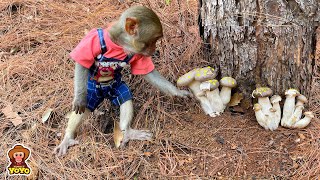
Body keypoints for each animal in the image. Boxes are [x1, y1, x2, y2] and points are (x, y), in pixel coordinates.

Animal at [53, 4, 191, 155]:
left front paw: (177, 92)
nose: (154, 50)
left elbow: (148, 74)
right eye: (153, 41)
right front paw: (79, 97)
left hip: (115, 87)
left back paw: (128, 132)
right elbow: (82, 63)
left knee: (125, 98)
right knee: (86, 107)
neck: (121, 44)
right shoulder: (92, 38)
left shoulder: (137, 54)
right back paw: (67, 137)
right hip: (93, 92)